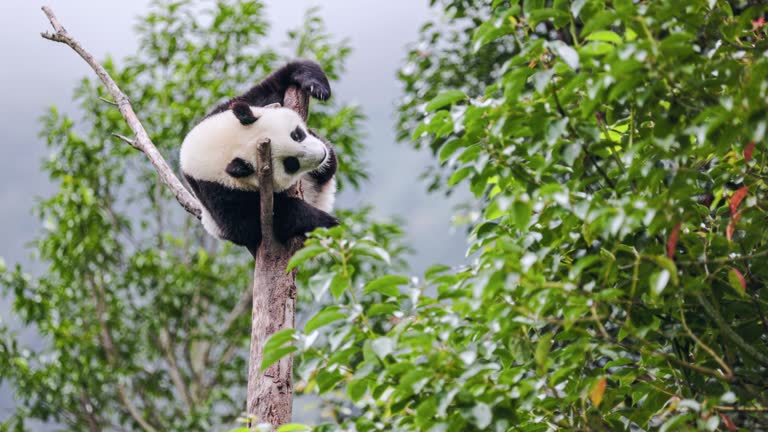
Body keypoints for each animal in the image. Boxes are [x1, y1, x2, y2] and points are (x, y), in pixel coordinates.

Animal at [180, 60, 340, 256]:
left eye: (296, 135)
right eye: (291, 164)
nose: (321, 155)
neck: (211, 148)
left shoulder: (224, 112)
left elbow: (272, 85)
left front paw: (316, 87)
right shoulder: (217, 191)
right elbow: (251, 223)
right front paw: (325, 222)